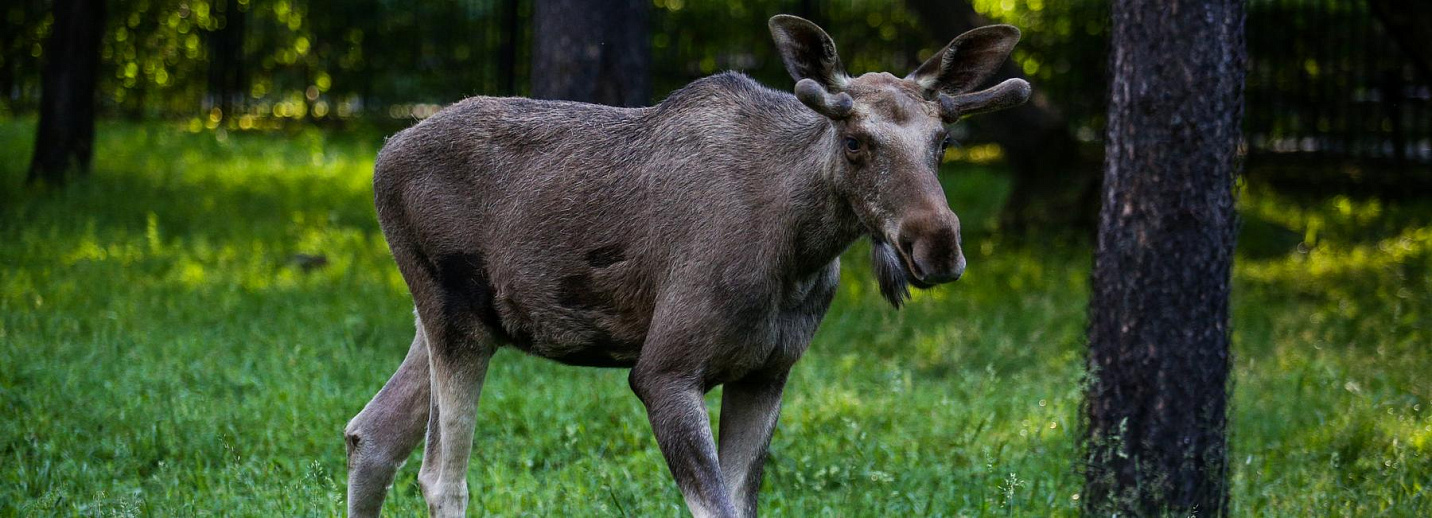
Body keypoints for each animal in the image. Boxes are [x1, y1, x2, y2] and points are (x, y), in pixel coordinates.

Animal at [345, 15, 1031, 518]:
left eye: (944, 141)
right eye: (855, 141)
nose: (936, 246)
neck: (800, 253)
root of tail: (382, 155)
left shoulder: (767, 373)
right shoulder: (665, 371)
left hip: (458, 323)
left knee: (369, 434)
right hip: (455, 319)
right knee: (440, 476)